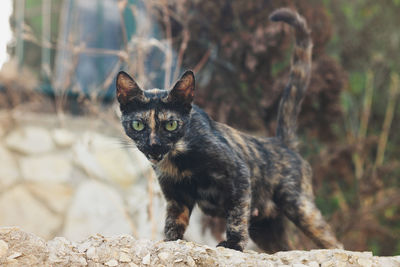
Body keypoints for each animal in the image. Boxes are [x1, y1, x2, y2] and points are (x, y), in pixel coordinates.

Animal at [115, 7, 340, 252]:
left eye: (171, 124)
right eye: (138, 125)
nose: (154, 145)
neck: (178, 157)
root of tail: (281, 142)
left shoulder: (239, 175)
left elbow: (236, 215)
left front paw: (233, 243)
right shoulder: (176, 195)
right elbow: (173, 222)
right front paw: (170, 241)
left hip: (298, 206)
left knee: (334, 243)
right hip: (266, 228)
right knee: (286, 248)